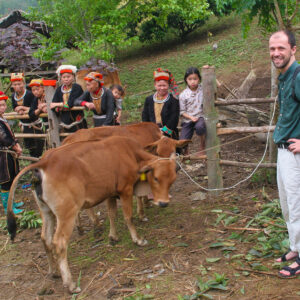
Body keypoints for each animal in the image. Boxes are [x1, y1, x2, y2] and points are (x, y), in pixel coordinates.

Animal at [5, 137, 177, 292]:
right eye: (156, 178)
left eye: (172, 181)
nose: (163, 203)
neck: (130, 153)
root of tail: (44, 162)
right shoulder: (125, 190)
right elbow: (129, 217)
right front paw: (138, 240)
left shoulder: (110, 193)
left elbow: (112, 214)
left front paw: (113, 237)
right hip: (67, 214)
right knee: (59, 243)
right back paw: (70, 284)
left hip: (46, 212)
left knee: (45, 239)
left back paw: (54, 272)